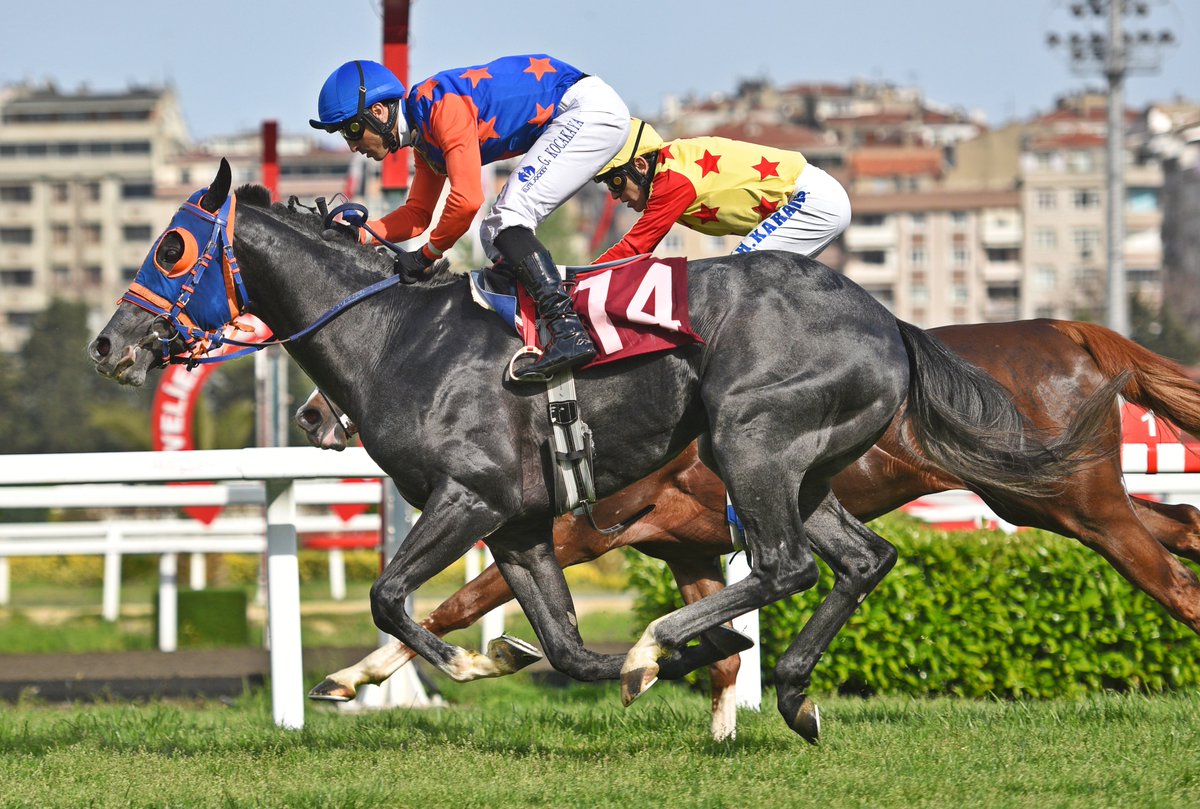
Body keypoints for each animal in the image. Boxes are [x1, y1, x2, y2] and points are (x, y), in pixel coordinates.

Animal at [307, 316, 1200, 739]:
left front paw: (361, 675)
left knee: (1174, 583)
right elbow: (718, 654)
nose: (314, 414)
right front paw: (714, 717)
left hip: (1078, 500)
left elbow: (459, 600)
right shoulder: (686, 542)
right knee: (1184, 521)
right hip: (1041, 495)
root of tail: (1073, 329)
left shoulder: (586, 528)